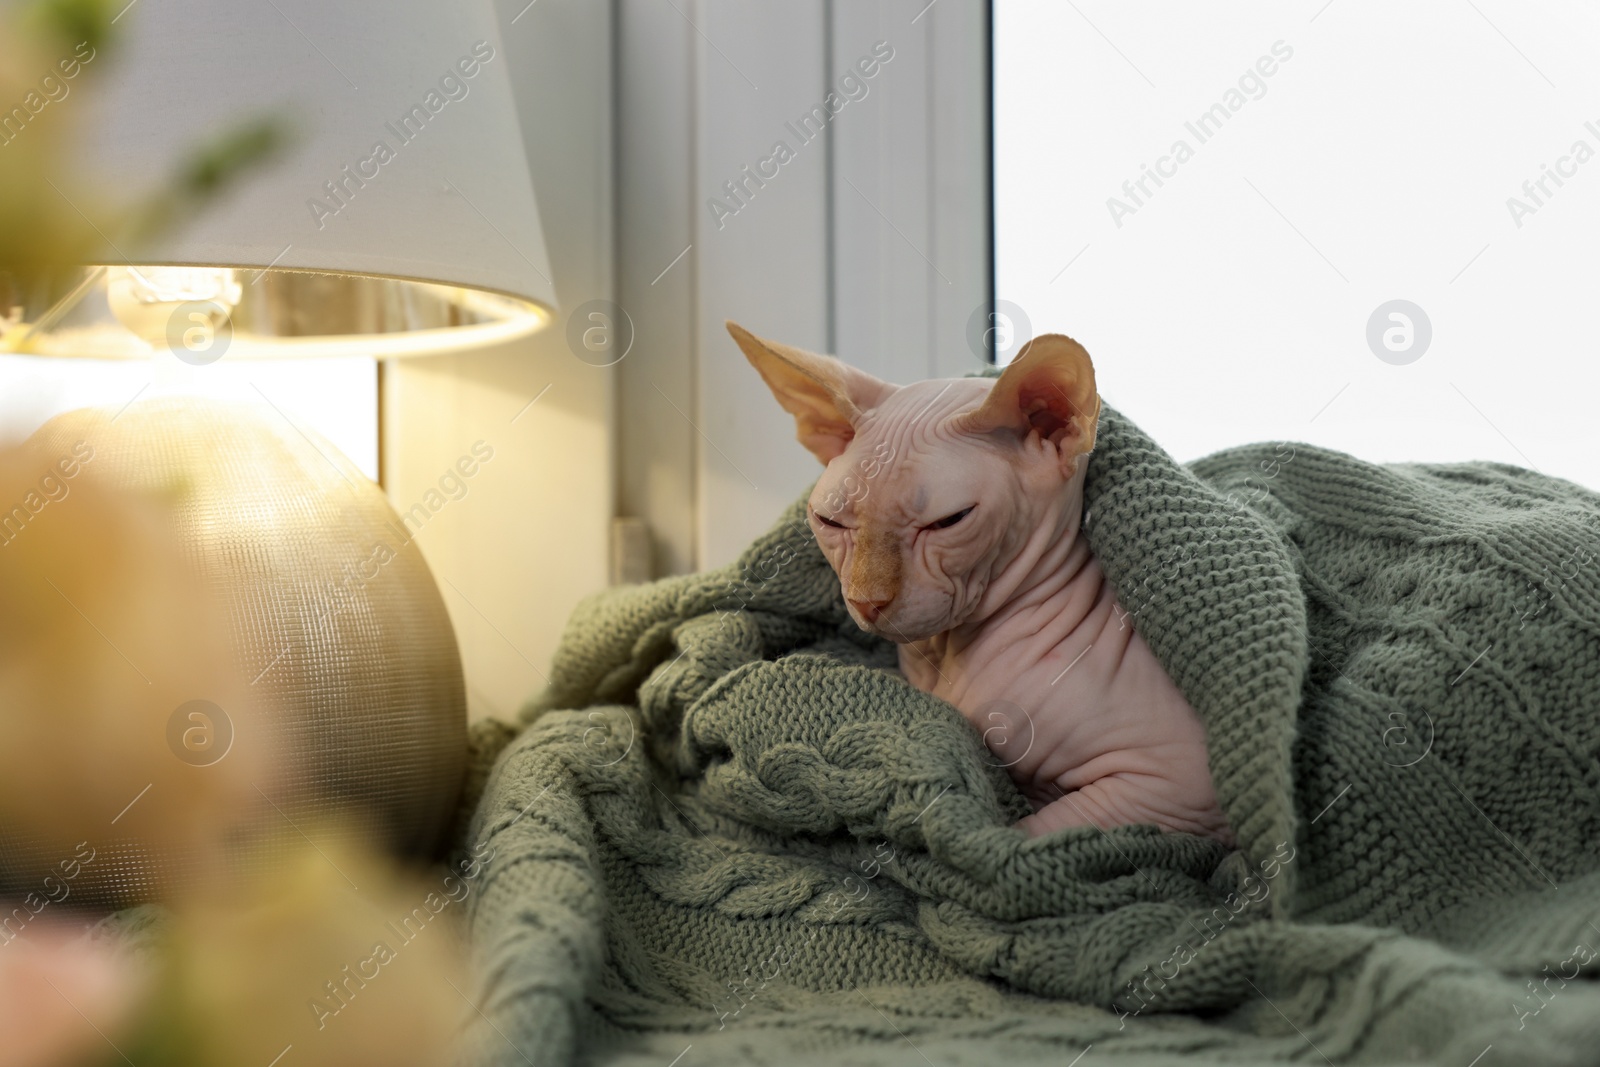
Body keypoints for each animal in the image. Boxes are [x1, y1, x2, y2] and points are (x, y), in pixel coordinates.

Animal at [732, 321, 1228, 844]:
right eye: (829, 520)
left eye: (949, 521)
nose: (867, 601)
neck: (946, 656)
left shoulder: (1176, 785)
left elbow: (1020, 834)